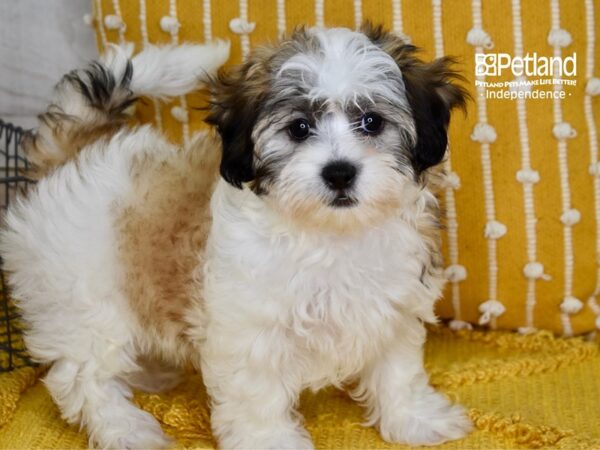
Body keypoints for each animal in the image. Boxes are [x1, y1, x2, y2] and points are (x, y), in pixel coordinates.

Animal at [2, 24, 472, 450]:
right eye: (299, 129)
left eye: (371, 122)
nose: (339, 172)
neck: (329, 234)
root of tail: (74, 153)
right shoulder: (251, 330)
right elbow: (258, 396)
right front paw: (271, 443)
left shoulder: (392, 308)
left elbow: (398, 372)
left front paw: (415, 420)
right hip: (82, 299)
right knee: (81, 375)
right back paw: (127, 430)